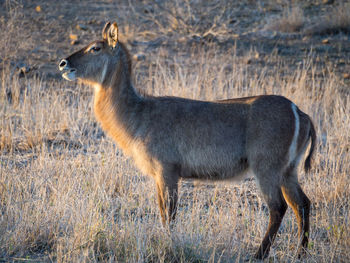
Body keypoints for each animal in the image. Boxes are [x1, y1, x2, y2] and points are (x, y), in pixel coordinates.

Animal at [58, 21, 316, 260]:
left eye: (95, 47)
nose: (63, 64)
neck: (139, 113)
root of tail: (299, 112)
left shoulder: (167, 171)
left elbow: (170, 214)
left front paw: (169, 245)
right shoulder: (158, 176)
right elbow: (162, 212)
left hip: (267, 169)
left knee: (278, 207)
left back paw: (259, 255)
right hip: (288, 171)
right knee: (302, 204)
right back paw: (300, 253)